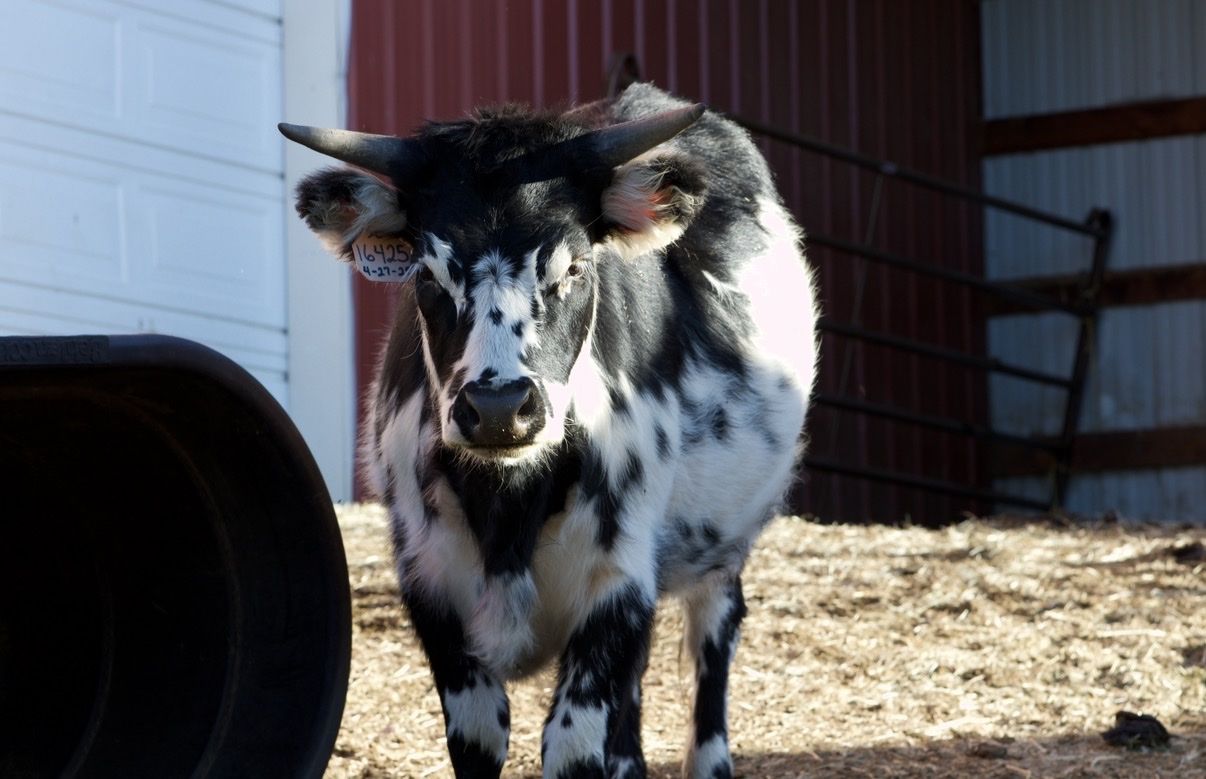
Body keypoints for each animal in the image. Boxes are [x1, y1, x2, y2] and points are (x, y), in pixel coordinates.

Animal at [281, 83, 818, 779]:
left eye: (576, 268)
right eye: (426, 274)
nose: (498, 407)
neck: (508, 506)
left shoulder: (616, 586)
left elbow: (574, 746)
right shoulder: (433, 593)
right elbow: (480, 739)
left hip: (725, 550)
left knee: (712, 647)